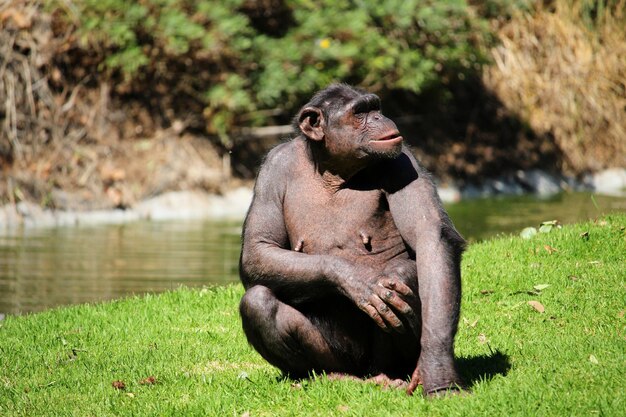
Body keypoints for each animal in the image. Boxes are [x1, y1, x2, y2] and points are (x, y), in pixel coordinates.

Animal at [239, 83, 464, 394]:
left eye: (374, 108)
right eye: (360, 113)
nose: (381, 118)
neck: (332, 171)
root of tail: (365, 373)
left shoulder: (403, 161)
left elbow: (430, 236)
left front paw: (438, 372)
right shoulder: (273, 168)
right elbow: (259, 247)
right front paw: (356, 280)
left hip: (383, 362)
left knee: (404, 275)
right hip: (339, 357)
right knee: (258, 301)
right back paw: (332, 375)